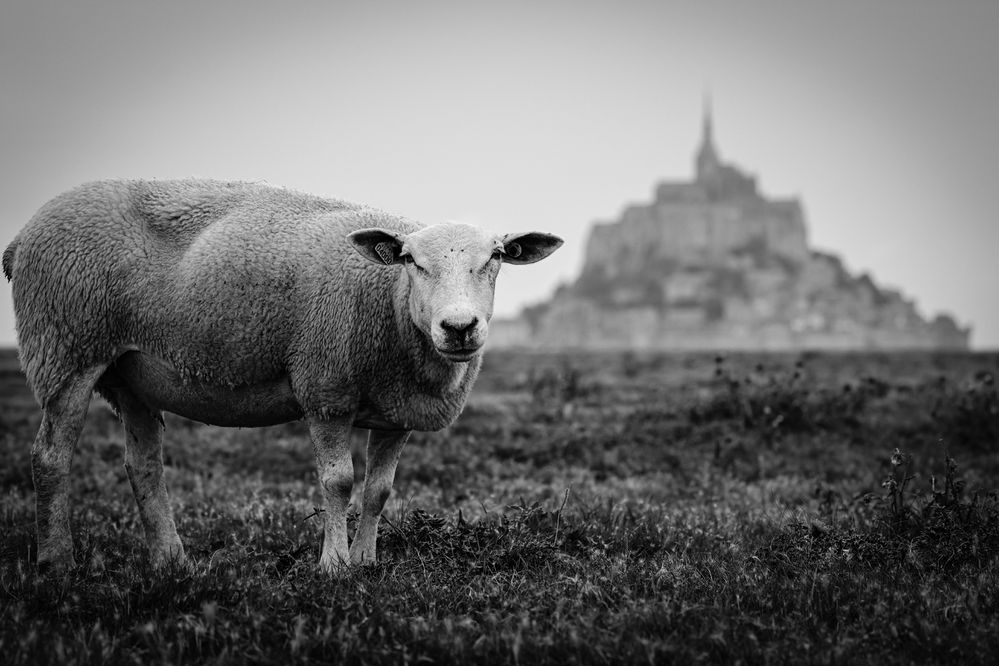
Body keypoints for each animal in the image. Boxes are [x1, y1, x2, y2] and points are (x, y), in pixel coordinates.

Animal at [1, 178, 564, 572]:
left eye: (496, 256)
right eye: (409, 260)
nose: (459, 327)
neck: (389, 301)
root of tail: (22, 238)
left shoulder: (396, 411)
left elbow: (379, 490)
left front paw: (367, 561)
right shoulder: (326, 387)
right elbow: (339, 481)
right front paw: (334, 565)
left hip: (130, 372)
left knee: (143, 467)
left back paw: (172, 561)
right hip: (66, 347)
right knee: (50, 457)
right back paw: (58, 561)